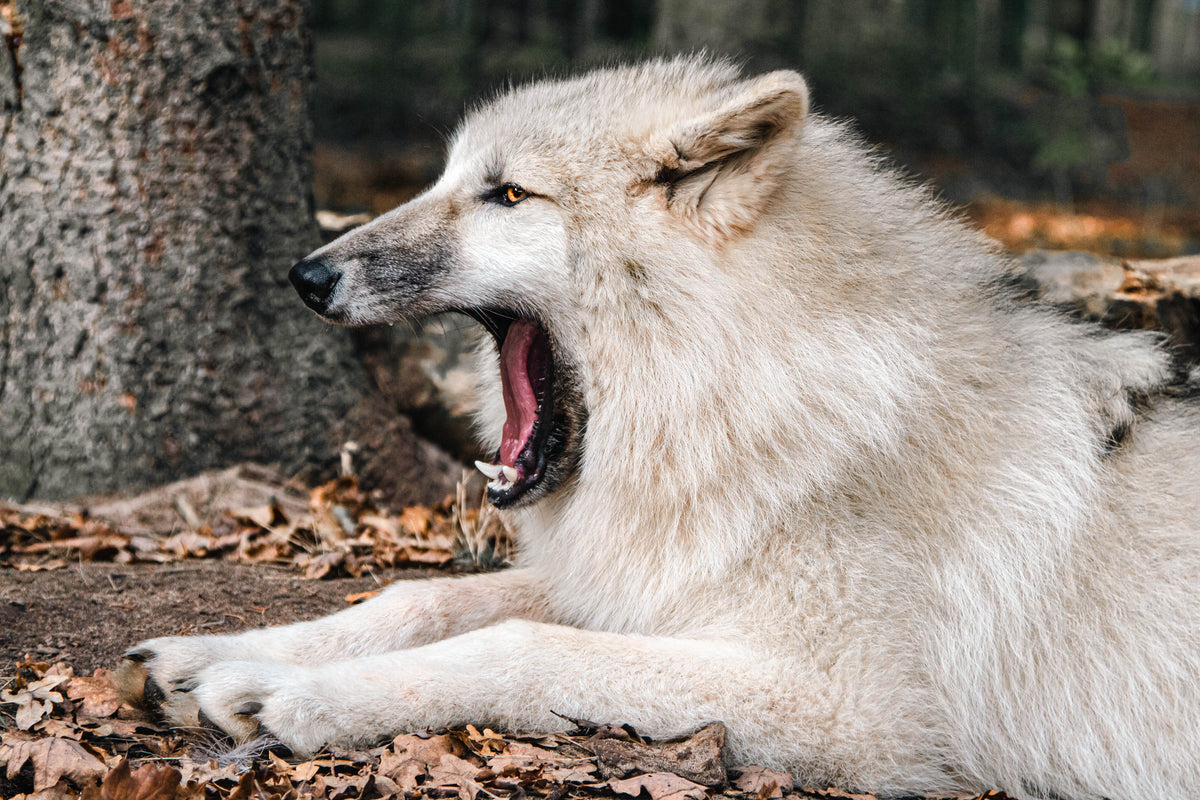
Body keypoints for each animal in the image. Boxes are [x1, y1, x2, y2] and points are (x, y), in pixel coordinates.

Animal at [117, 57, 1200, 799]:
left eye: (507, 195)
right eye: (445, 179)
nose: (306, 275)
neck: (749, 402)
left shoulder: (854, 708)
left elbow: (517, 645)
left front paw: (296, 696)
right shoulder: (637, 581)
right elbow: (417, 601)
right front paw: (222, 654)